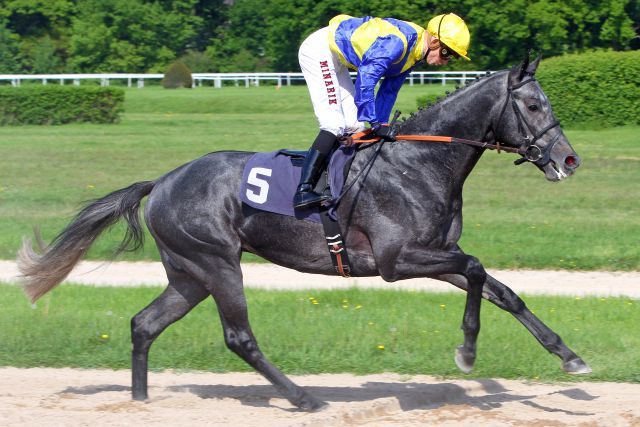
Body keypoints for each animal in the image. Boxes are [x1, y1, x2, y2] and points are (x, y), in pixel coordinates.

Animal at [18, 53, 592, 412]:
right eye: (534, 105)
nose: (569, 160)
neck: (419, 161)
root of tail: (160, 181)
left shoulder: (436, 251)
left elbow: (502, 291)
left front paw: (570, 357)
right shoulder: (397, 260)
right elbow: (476, 272)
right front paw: (467, 351)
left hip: (188, 273)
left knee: (144, 324)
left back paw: (139, 402)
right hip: (216, 262)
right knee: (239, 337)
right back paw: (304, 397)